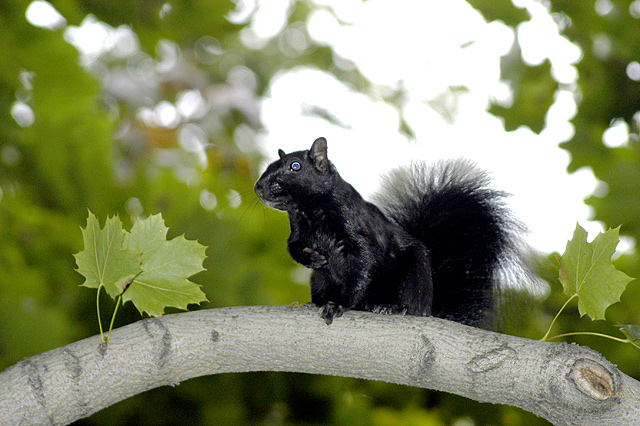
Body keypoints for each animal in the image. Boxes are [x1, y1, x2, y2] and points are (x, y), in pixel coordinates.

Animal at [254, 138, 528, 324]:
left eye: (295, 166)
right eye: (271, 164)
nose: (258, 187)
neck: (309, 212)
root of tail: (432, 309)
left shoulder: (357, 235)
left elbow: (363, 265)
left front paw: (339, 304)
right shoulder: (298, 233)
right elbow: (293, 247)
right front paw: (313, 257)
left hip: (414, 272)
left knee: (412, 302)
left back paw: (394, 308)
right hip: (320, 280)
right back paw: (317, 302)